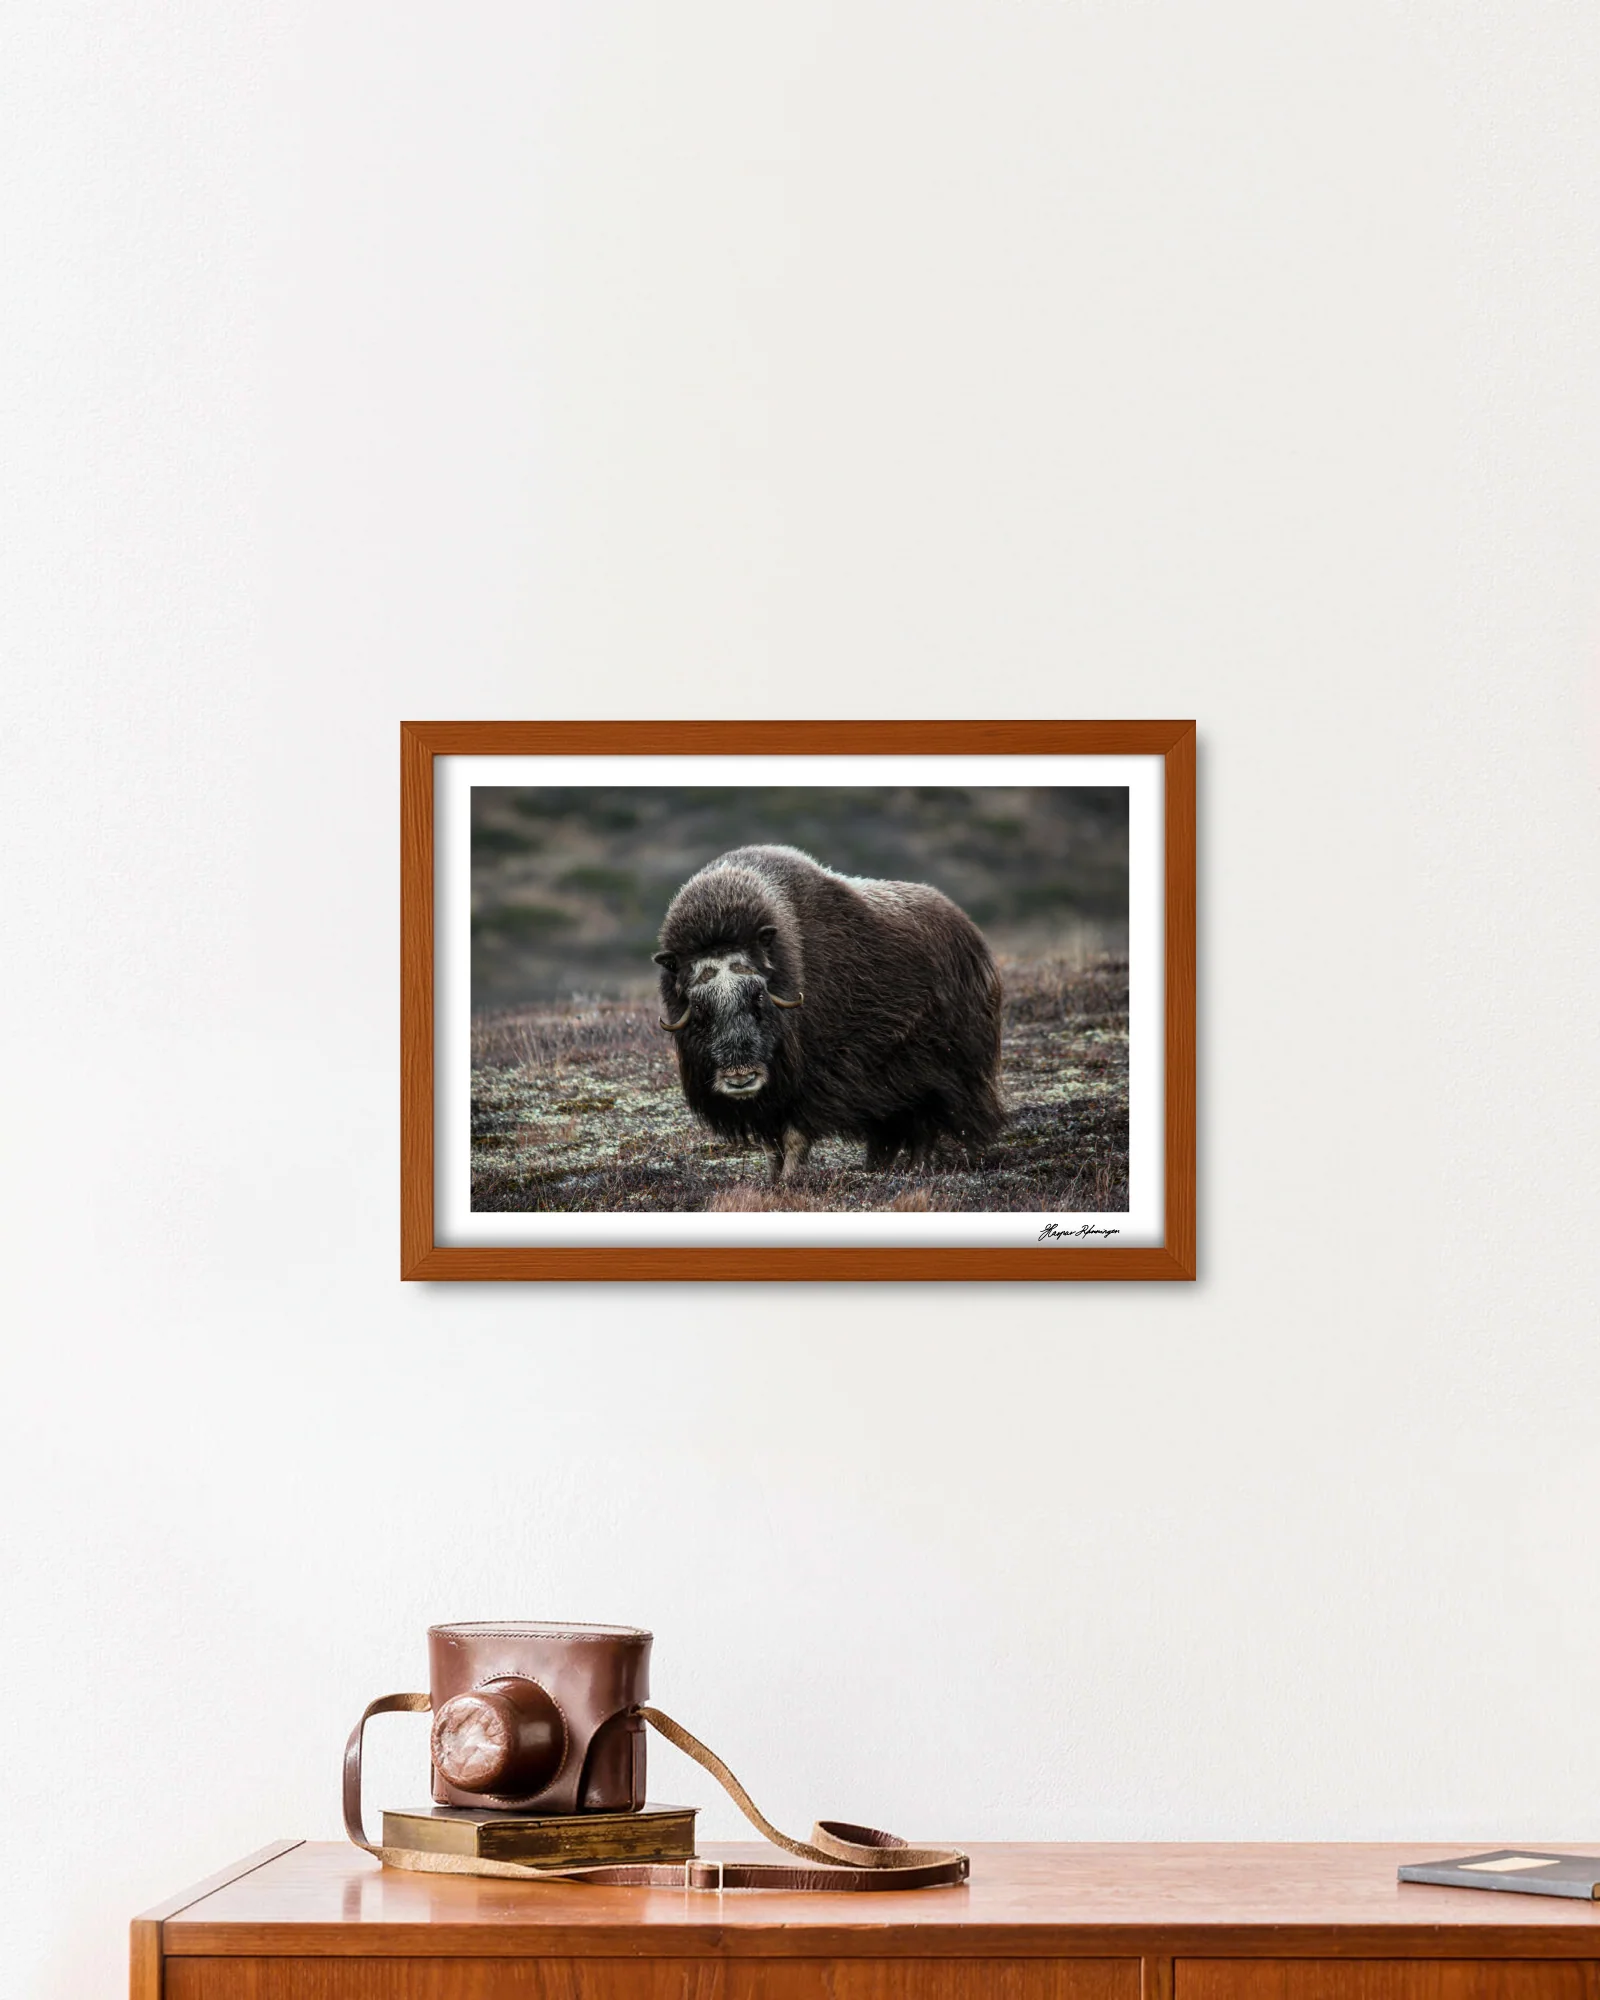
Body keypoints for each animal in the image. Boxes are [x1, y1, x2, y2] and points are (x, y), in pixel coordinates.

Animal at [653, 844, 1003, 1182]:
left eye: (758, 997)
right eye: (700, 1008)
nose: (741, 1078)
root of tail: (969, 930)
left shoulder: (815, 1080)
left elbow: (795, 1135)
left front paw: (790, 1180)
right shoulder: (770, 1099)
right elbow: (771, 1145)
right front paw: (772, 1180)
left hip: (940, 1072)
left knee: (926, 1124)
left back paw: (914, 1169)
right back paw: (877, 1169)